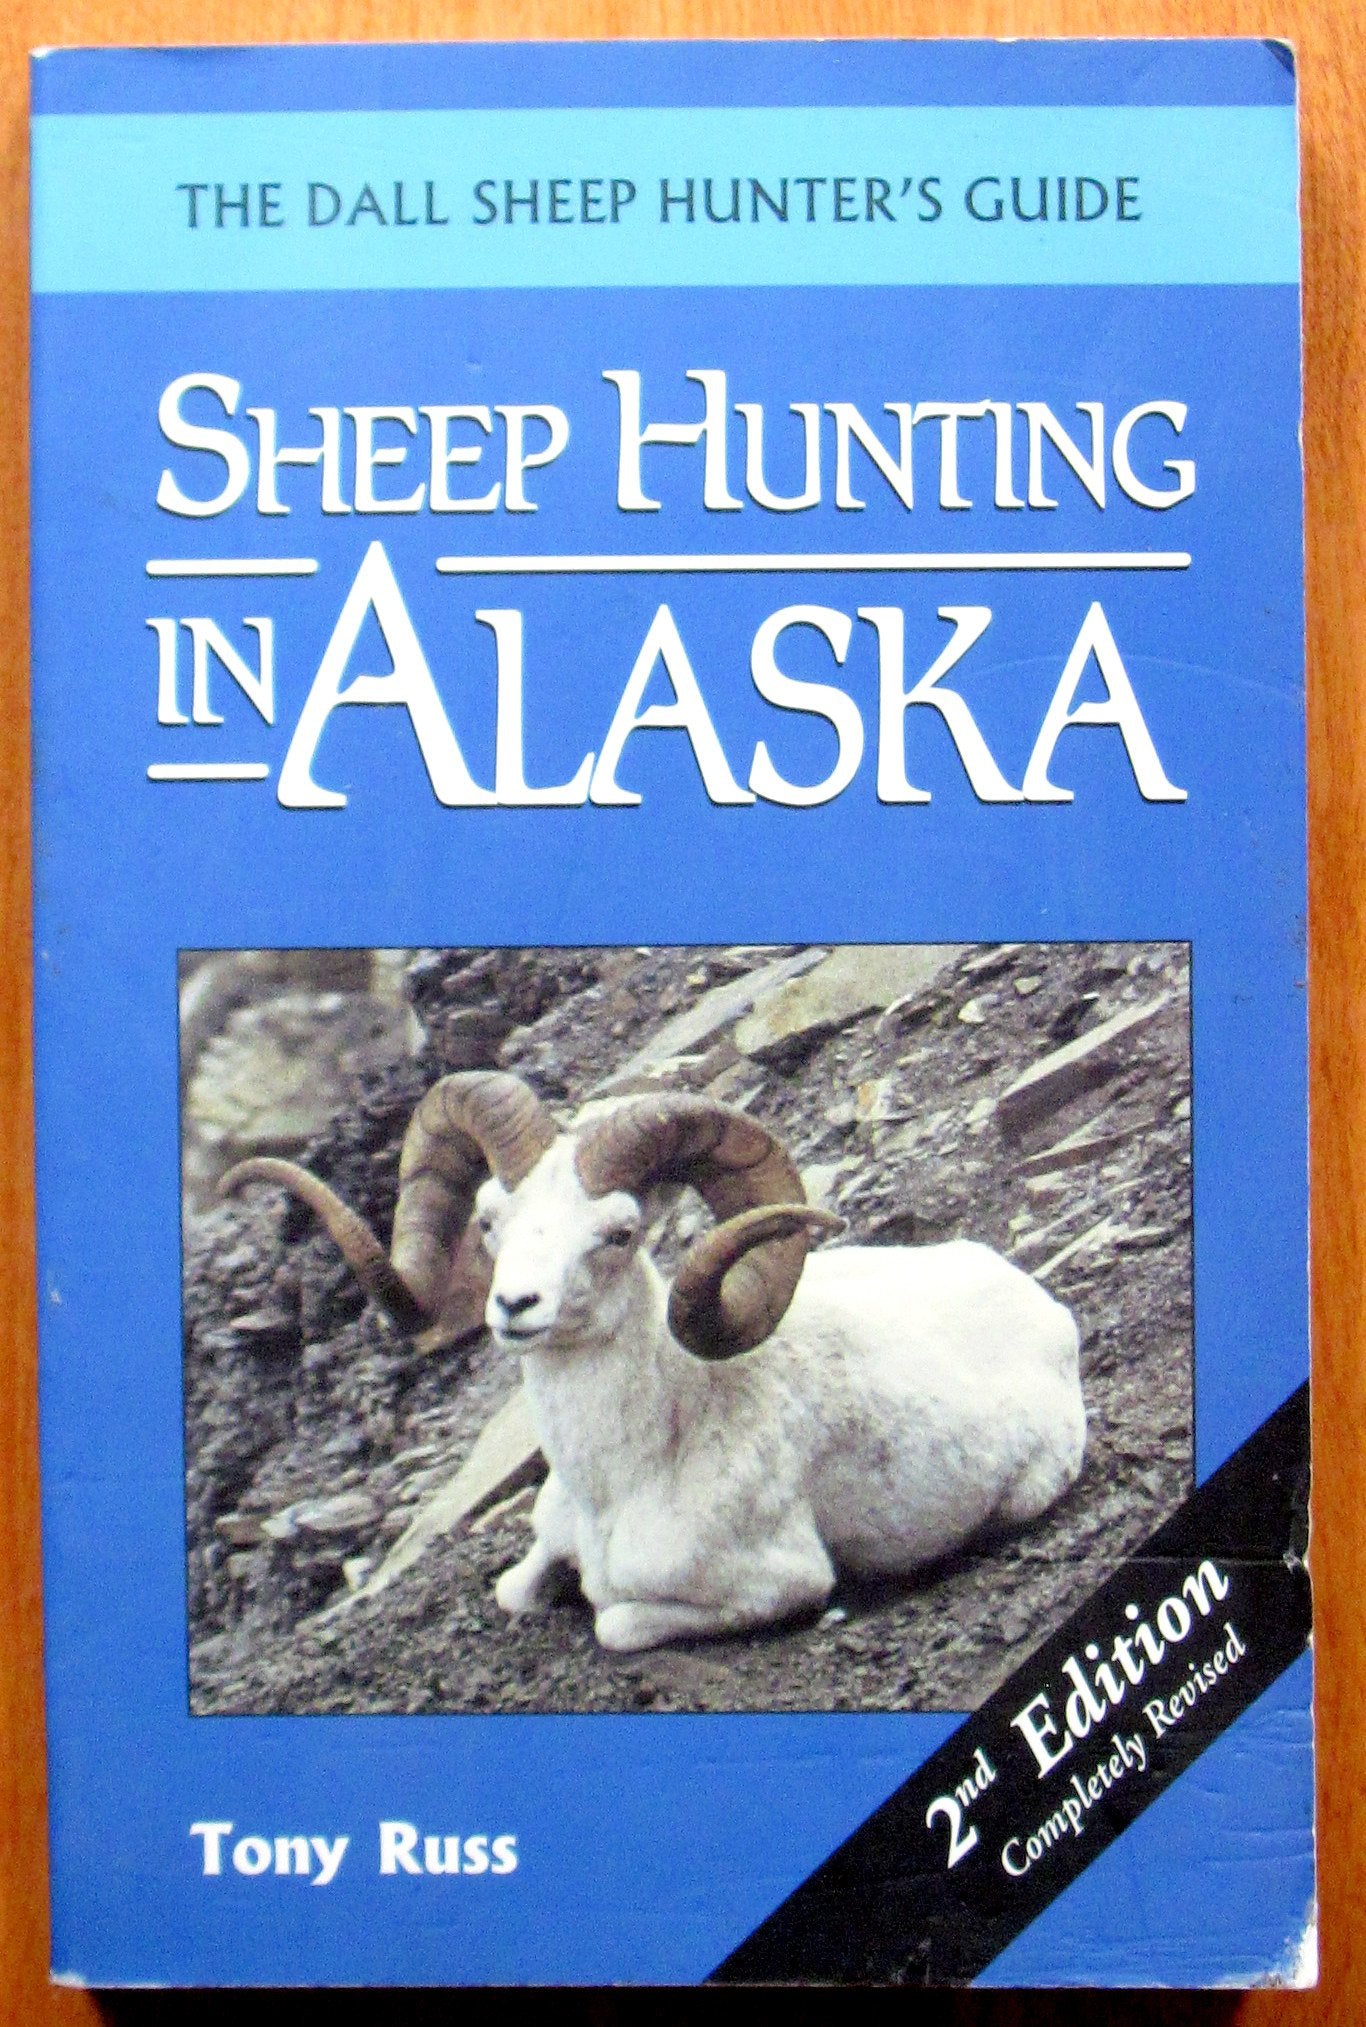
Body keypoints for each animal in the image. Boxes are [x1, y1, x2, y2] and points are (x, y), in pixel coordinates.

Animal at [222, 1071, 1086, 1654]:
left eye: (619, 1232)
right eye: (491, 1220)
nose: (516, 1306)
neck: (626, 1477)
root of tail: (1037, 1303)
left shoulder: (777, 1583)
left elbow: (613, 1621)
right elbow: (514, 1589)